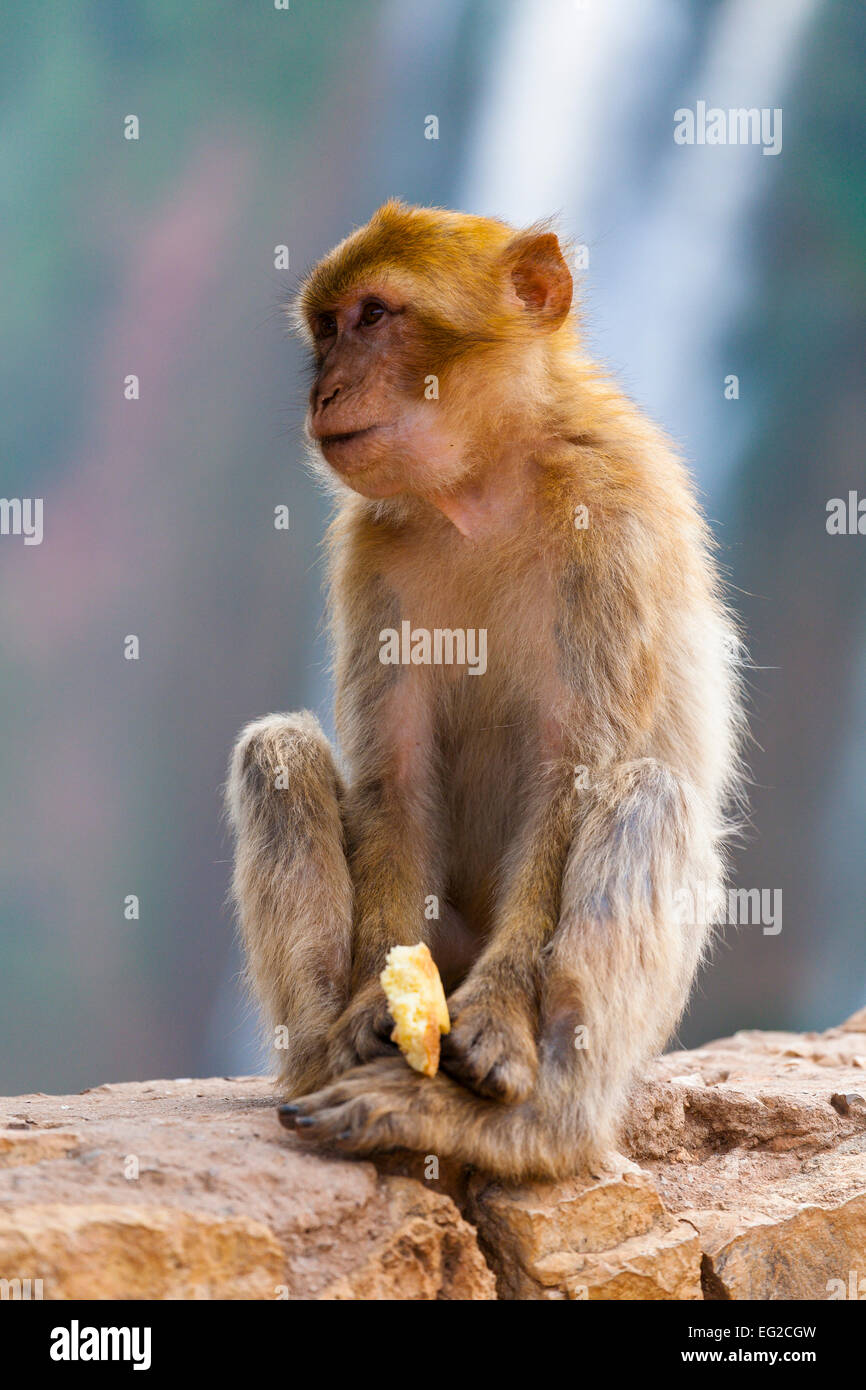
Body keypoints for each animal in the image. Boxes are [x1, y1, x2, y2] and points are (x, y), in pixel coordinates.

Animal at [225, 198, 745, 1184]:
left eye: (375, 316)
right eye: (326, 328)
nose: (323, 393)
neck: (485, 488)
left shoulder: (617, 519)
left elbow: (573, 782)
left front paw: (498, 1020)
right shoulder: (372, 551)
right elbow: (393, 782)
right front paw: (370, 1007)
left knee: (647, 795)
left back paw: (528, 1129)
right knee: (277, 753)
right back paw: (323, 1058)